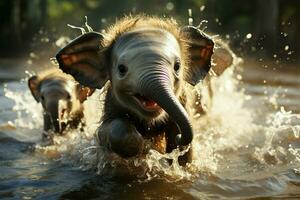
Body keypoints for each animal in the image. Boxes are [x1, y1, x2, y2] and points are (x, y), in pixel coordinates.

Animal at [55, 16, 233, 166]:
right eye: (121, 69)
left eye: (177, 66)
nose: (179, 137)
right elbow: (107, 131)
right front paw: (143, 146)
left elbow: (184, 156)